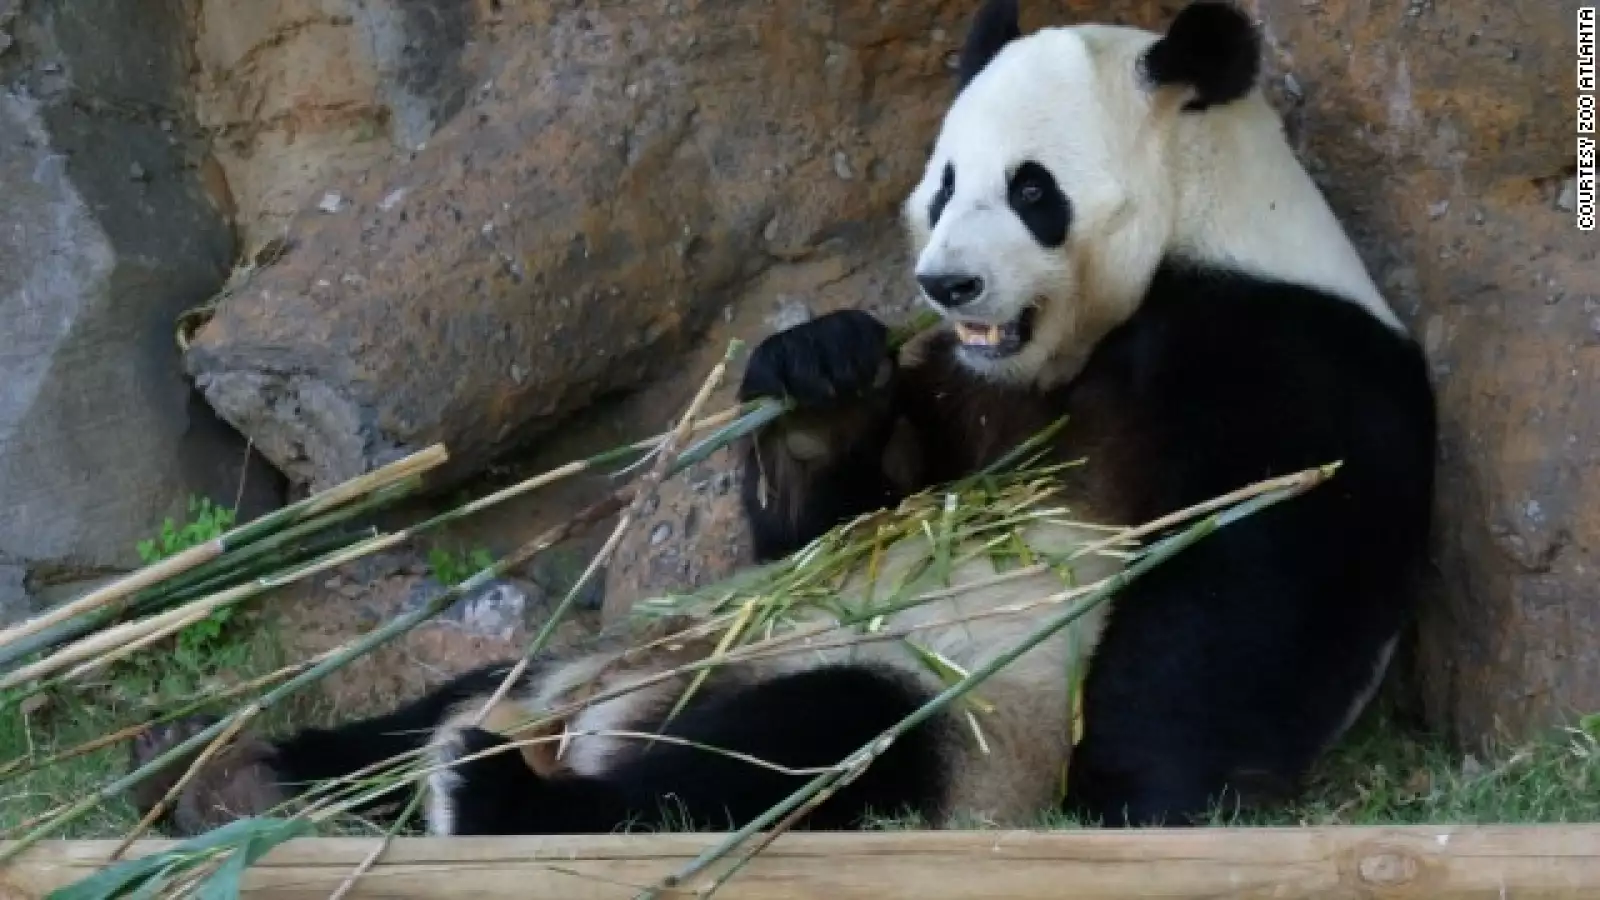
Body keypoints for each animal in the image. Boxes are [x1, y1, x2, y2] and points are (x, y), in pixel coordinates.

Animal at [127, 0, 1436, 836]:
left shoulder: (1283, 351)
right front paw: (819, 376)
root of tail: (590, 720)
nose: (946, 286)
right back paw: (232, 770)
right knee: (436, 708)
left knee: (801, 753)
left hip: (936, 702)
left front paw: (1136, 788)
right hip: (629, 641)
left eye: (1032, 189)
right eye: (944, 183)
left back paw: (497, 798)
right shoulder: (966, 392)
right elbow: (843, 518)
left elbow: (1250, 581)